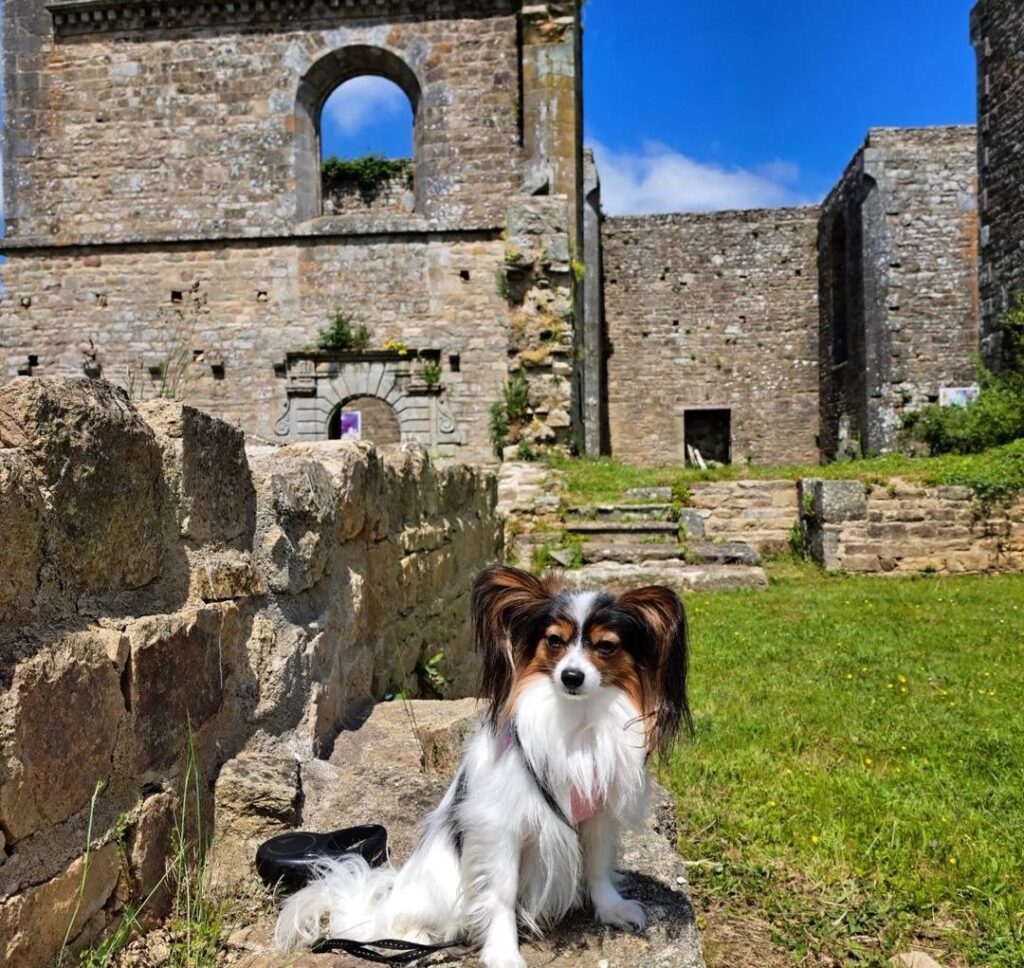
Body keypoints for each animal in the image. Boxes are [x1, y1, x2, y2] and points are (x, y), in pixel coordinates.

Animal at [274, 561, 688, 966]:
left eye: (606, 646)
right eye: (554, 641)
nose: (571, 676)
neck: (575, 719)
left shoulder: (597, 812)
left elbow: (598, 866)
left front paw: (611, 909)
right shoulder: (500, 826)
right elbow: (500, 894)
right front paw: (503, 953)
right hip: (437, 883)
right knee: (399, 924)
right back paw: (416, 940)